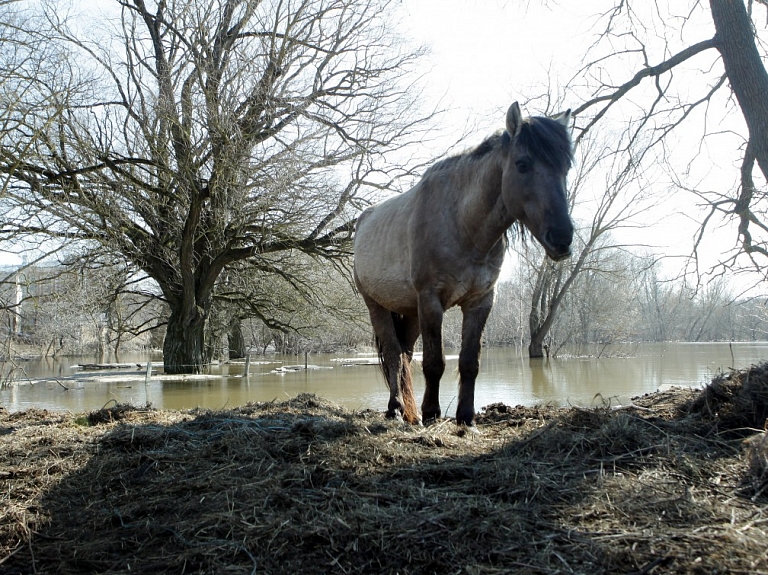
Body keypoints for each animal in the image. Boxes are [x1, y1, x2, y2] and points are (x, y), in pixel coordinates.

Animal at [352, 103, 572, 428]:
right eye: (522, 164)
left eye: (565, 168)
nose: (562, 238)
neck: (462, 224)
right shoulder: (431, 301)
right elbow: (434, 362)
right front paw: (432, 413)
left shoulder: (480, 301)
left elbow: (469, 362)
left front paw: (466, 418)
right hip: (377, 306)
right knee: (393, 355)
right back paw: (395, 408)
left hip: (411, 311)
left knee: (405, 355)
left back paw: (409, 412)